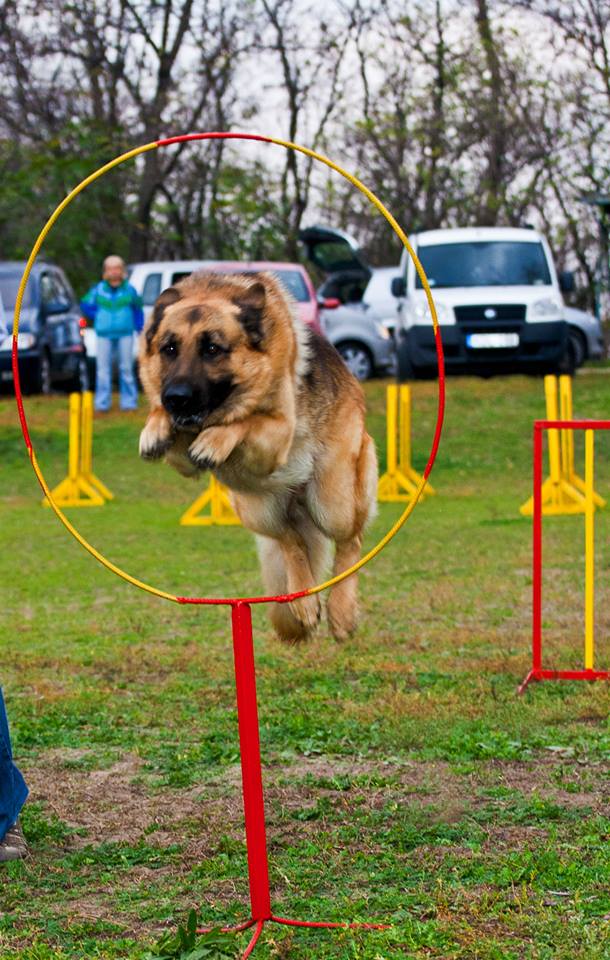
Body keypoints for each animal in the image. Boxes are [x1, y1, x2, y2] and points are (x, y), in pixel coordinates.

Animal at [139, 274, 376, 640]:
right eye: (169, 349)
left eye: (212, 349)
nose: (176, 398)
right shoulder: (184, 461)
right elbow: (171, 426)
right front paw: (156, 426)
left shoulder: (275, 437)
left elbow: (245, 420)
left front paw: (216, 437)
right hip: (256, 508)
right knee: (292, 541)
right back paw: (303, 602)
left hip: (333, 501)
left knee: (350, 543)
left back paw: (341, 613)